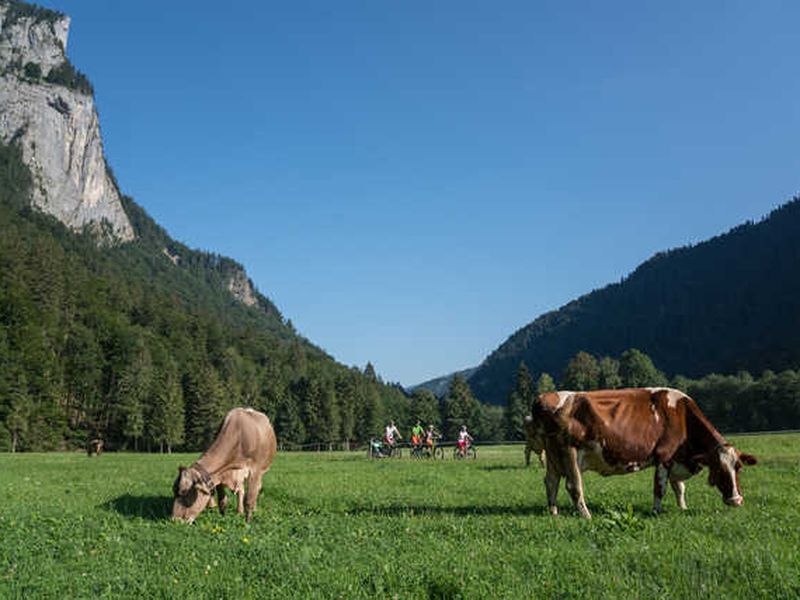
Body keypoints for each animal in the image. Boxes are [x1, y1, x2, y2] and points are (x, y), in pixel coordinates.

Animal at [528, 386, 760, 516]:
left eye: (738, 467)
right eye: (719, 469)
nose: (736, 500)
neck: (682, 415)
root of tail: (543, 397)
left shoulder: (676, 459)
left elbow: (679, 488)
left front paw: (683, 508)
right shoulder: (664, 456)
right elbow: (660, 488)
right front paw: (656, 512)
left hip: (553, 455)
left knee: (551, 481)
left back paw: (553, 512)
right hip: (569, 452)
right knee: (573, 486)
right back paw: (586, 515)